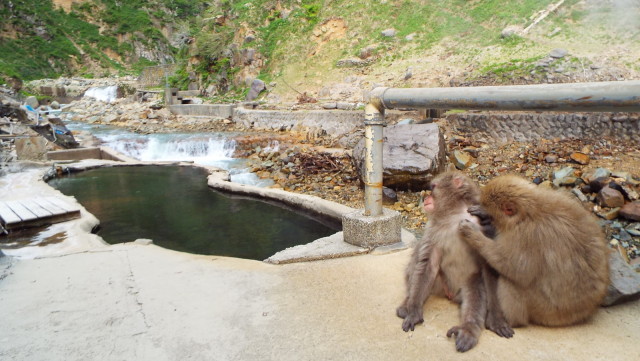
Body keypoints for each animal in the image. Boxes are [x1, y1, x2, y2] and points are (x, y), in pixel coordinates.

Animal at [396, 171, 516, 352]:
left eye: (432, 188)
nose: (426, 198)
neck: (454, 215)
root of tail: (450, 294)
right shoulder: (432, 228)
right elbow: (427, 263)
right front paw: (413, 311)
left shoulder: (485, 229)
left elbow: (489, 266)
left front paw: (496, 319)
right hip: (438, 283)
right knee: (418, 257)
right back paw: (407, 303)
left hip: (464, 285)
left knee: (476, 290)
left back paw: (468, 329)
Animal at [460, 174, 608, 326]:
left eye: (493, 216)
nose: (487, 217)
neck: (530, 212)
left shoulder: (525, 236)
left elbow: (516, 268)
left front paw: (473, 233)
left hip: (544, 309)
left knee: (510, 281)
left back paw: (510, 320)